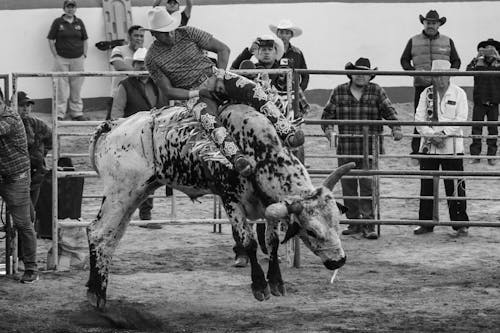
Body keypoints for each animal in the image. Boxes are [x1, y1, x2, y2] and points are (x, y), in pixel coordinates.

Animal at [86, 104, 352, 308]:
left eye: (337, 223)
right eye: (311, 231)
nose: (339, 261)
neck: (261, 152)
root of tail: (115, 125)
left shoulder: (269, 205)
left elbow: (272, 241)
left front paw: (276, 282)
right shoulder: (231, 201)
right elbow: (248, 242)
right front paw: (260, 286)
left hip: (136, 194)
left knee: (109, 238)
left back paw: (93, 288)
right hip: (120, 193)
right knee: (99, 233)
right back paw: (97, 295)